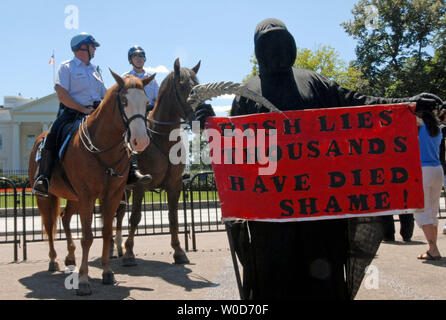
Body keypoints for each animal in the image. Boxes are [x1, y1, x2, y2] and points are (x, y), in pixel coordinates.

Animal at [28, 71, 155, 296]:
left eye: (147, 103)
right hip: (46, 197)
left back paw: (70, 256)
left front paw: (107, 271)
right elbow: (87, 236)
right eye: (124, 101)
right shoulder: (87, 196)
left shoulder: (112, 195)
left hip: (73, 197)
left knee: (64, 217)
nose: (141, 140)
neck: (103, 148)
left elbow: (106, 232)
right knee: (50, 225)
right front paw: (84, 280)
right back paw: (53, 260)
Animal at [113, 57, 200, 264]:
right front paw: (129, 253)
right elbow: (135, 217)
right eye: (182, 85)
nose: (198, 115)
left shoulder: (174, 184)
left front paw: (178, 250)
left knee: (119, 215)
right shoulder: (140, 186)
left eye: (197, 84)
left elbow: (173, 217)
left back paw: (118, 248)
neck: (162, 140)